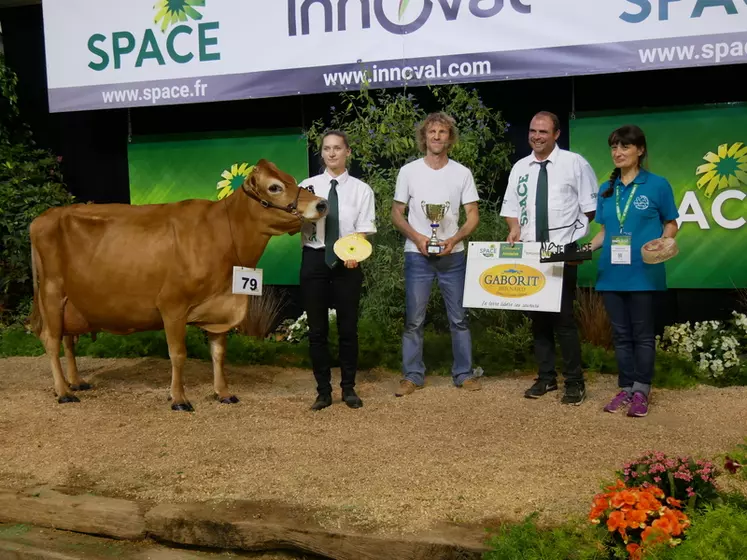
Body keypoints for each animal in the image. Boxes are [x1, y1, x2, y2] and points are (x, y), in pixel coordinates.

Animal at [30, 159, 328, 412]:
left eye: (293, 180)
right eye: (275, 187)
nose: (322, 204)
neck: (223, 235)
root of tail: (44, 217)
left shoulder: (219, 306)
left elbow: (218, 354)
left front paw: (223, 393)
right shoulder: (172, 305)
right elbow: (178, 354)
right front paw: (179, 399)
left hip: (71, 301)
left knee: (68, 340)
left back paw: (76, 382)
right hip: (51, 293)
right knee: (51, 339)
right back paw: (64, 392)